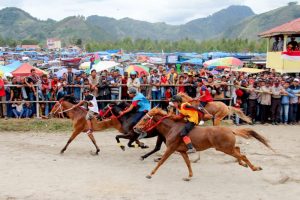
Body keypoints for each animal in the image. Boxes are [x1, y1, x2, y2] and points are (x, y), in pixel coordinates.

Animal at [134, 108, 274, 181]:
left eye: (145, 119)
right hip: (226, 148)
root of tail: (230, 130)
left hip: (224, 148)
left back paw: (254, 167)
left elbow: (161, 161)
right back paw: (243, 164)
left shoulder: (171, 148)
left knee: (242, 155)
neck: (172, 128)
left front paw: (150, 174)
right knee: (238, 150)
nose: (135, 128)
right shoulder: (182, 151)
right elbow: (188, 163)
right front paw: (189, 176)